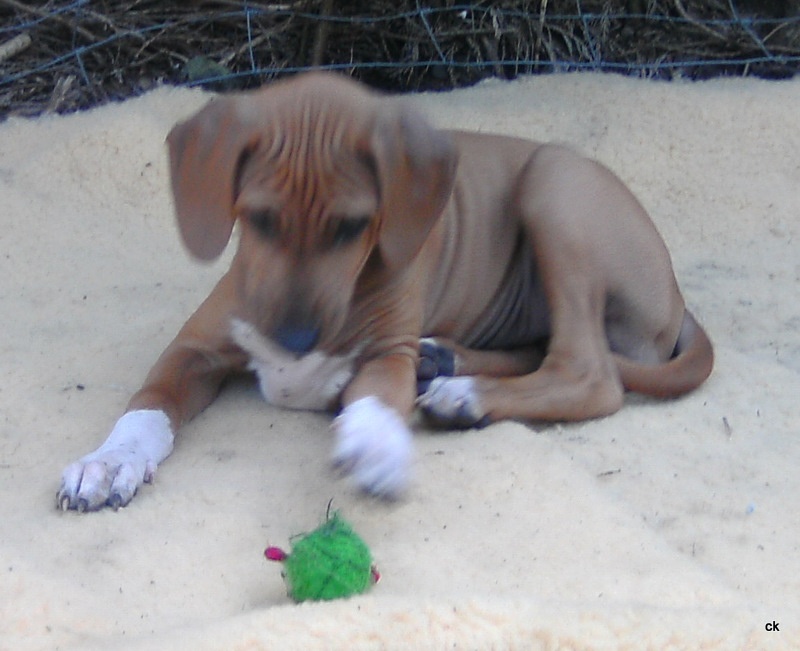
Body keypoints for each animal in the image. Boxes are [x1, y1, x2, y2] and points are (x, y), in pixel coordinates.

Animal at [57, 72, 713, 511]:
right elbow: (148, 404)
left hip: (556, 186)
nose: (294, 342)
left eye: (352, 227)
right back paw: (446, 364)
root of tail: (676, 297)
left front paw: (376, 444)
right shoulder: (192, 348)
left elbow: (373, 397)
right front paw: (109, 461)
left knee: (590, 372)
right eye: (259, 218)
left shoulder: (383, 354)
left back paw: (463, 393)